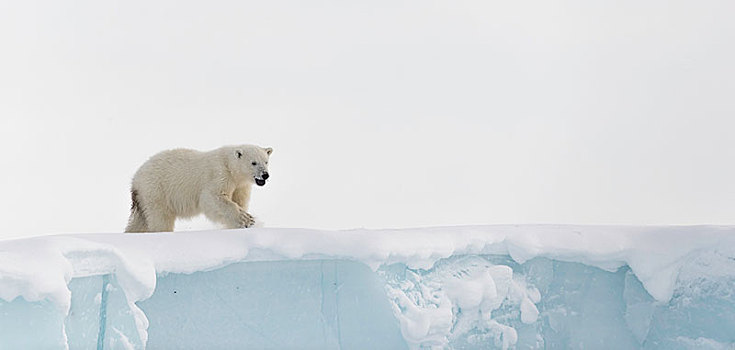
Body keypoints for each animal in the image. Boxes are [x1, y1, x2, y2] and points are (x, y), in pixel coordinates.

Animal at [123, 144, 274, 232]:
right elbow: (213, 197)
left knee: (140, 221)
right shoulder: (219, 174)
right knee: (160, 218)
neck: (230, 165)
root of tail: (135, 180)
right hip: (155, 191)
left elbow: (239, 200)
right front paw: (246, 219)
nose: (265, 175)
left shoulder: (240, 185)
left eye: (266, 161)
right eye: (253, 162)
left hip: (144, 199)